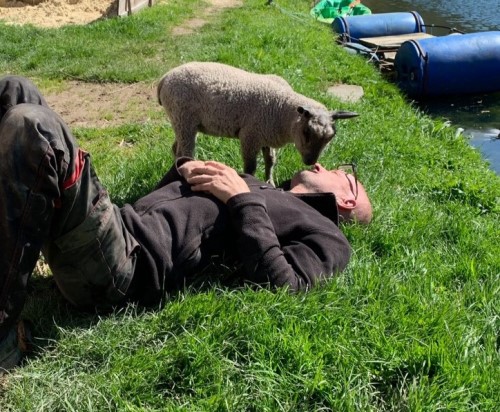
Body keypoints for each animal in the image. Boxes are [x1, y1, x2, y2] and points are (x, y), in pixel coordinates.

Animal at [158, 62, 358, 184]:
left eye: (330, 137)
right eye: (307, 132)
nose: (310, 161)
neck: (282, 109)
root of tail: (165, 78)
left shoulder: (266, 137)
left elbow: (270, 161)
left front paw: (270, 182)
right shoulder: (250, 136)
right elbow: (250, 167)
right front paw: (250, 181)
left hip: (182, 122)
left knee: (176, 148)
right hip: (183, 119)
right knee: (185, 152)